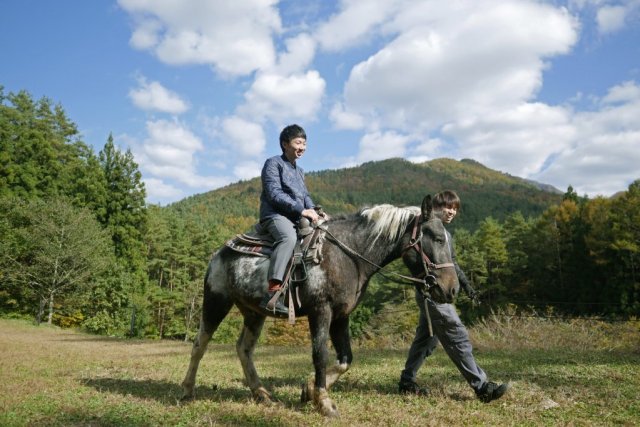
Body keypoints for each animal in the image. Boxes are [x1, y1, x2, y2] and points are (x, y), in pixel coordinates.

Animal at [181, 196, 460, 418]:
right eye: (437, 238)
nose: (452, 289)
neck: (347, 255)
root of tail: (219, 253)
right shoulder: (321, 311)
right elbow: (320, 355)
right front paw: (324, 402)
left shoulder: (341, 316)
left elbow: (346, 359)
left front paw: (308, 390)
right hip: (216, 301)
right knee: (199, 345)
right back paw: (187, 391)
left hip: (254, 313)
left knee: (244, 349)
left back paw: (262, 394)